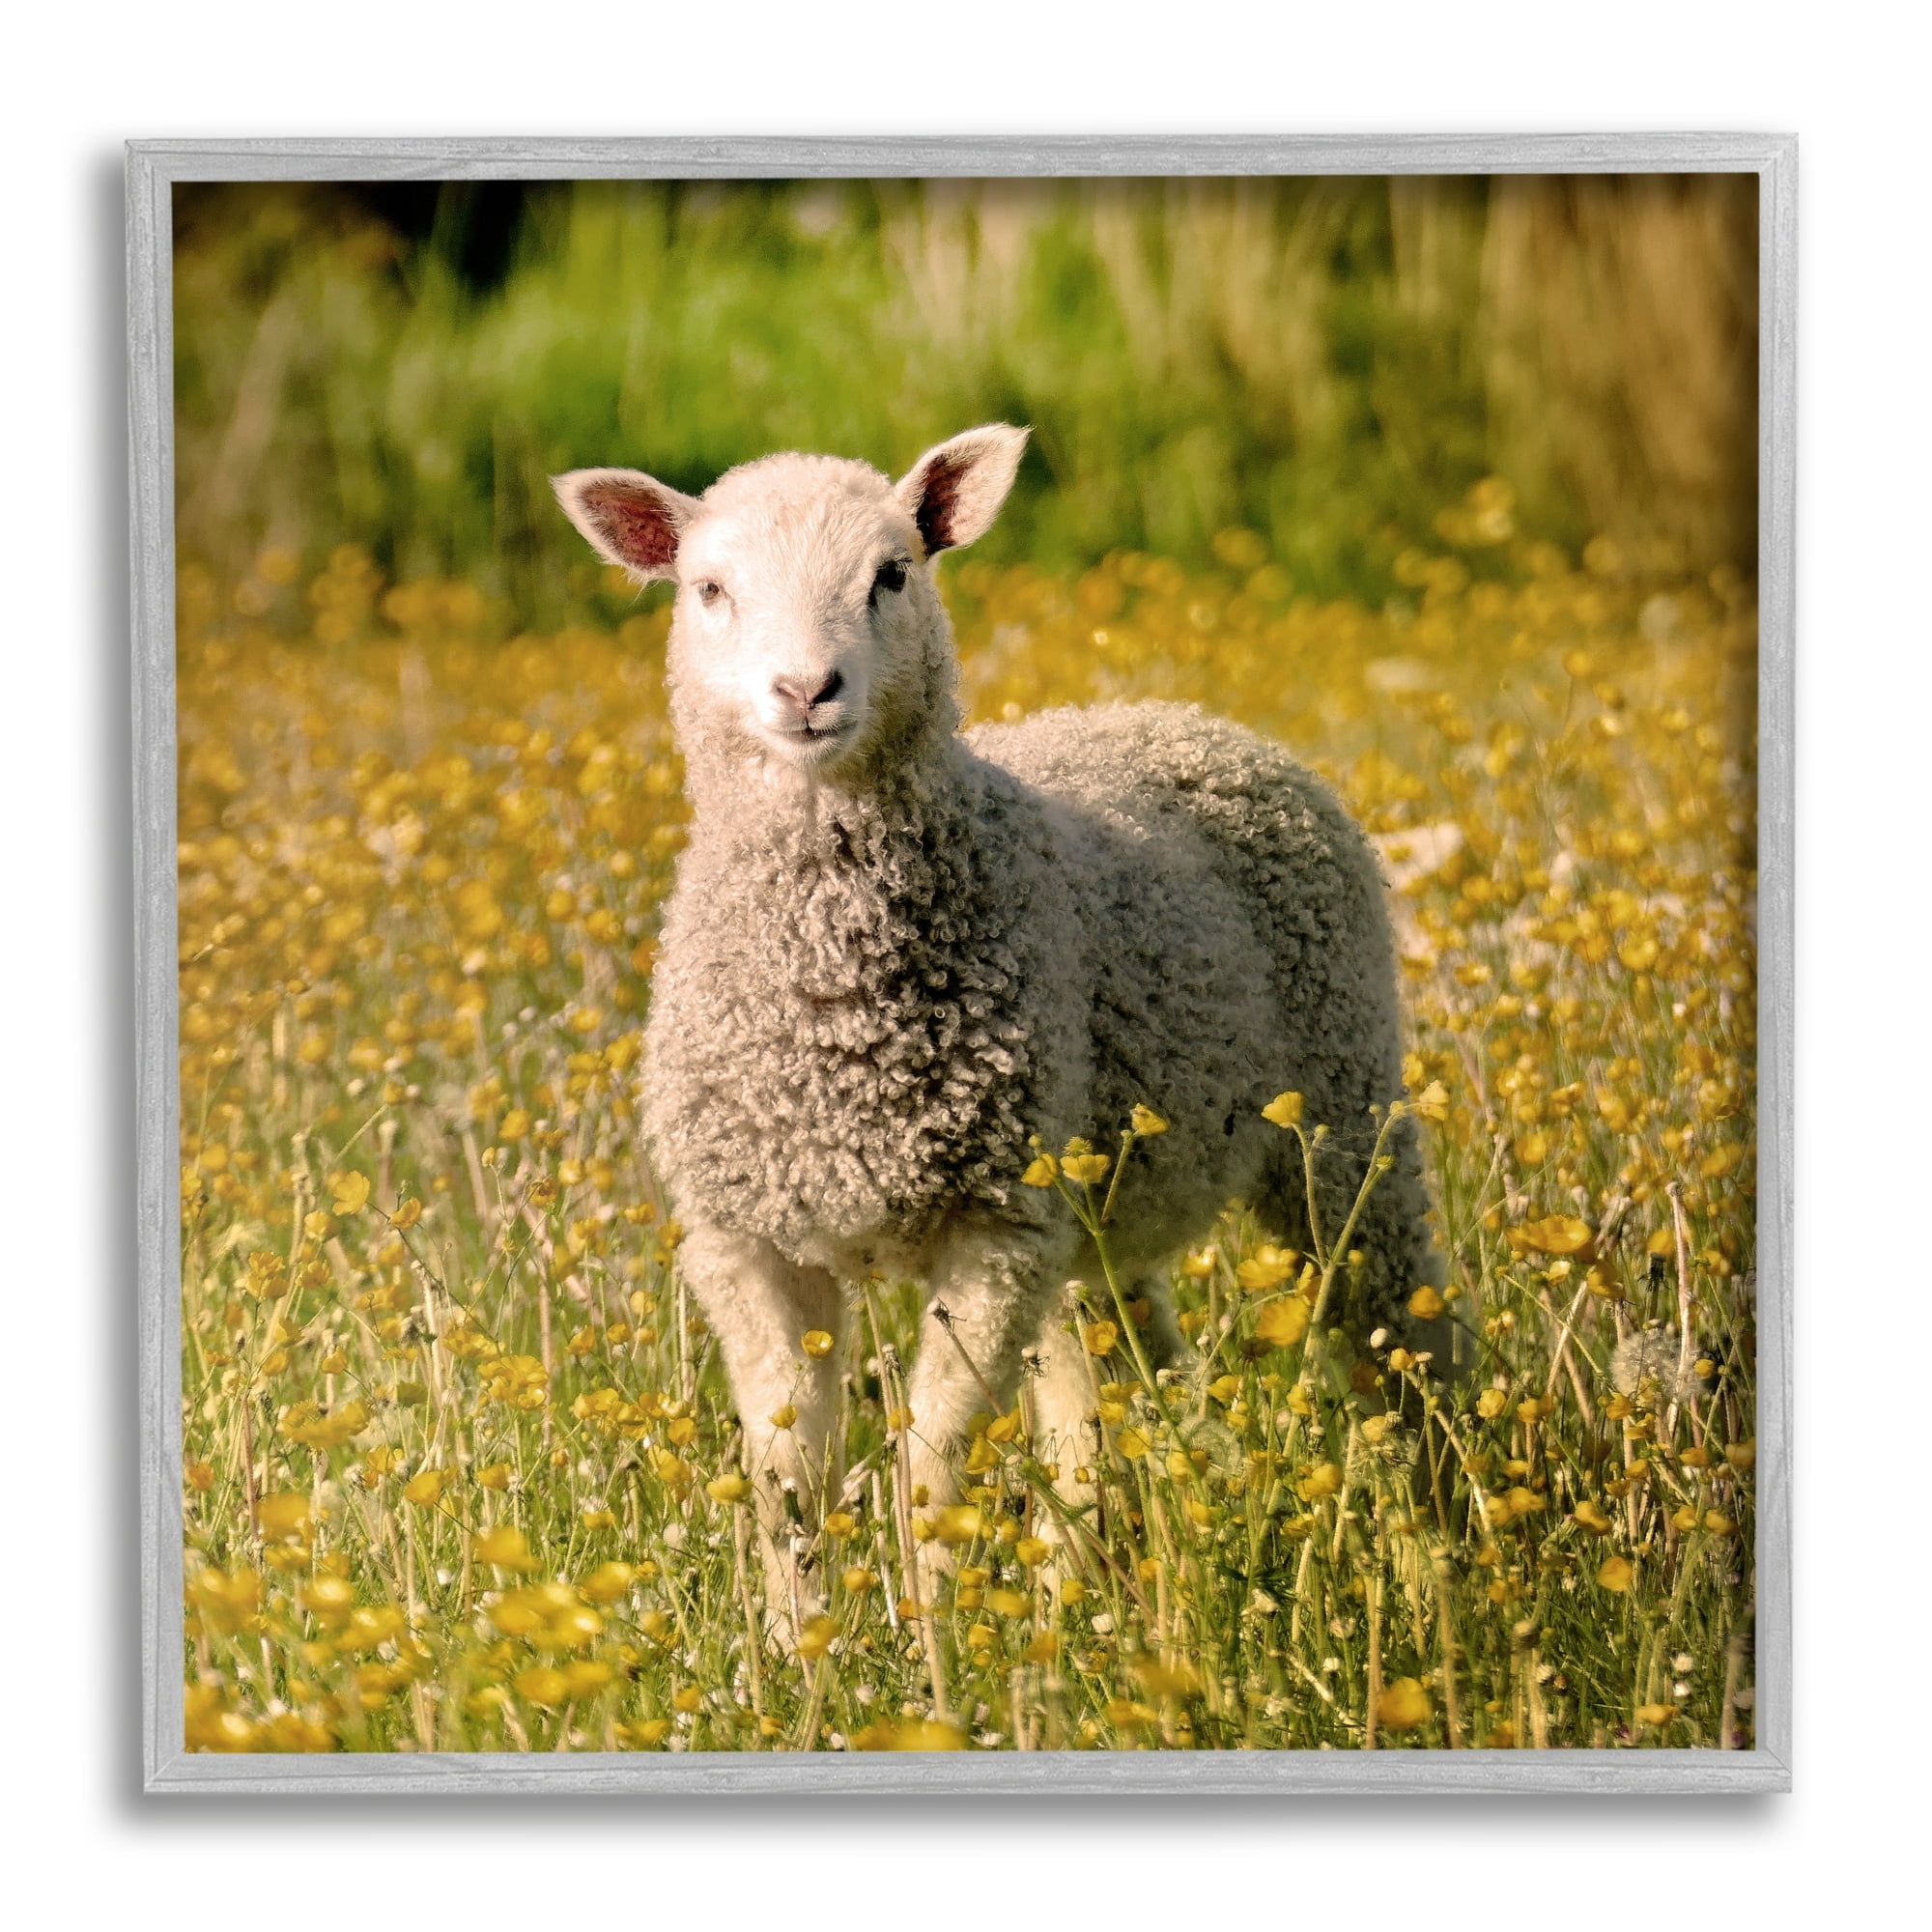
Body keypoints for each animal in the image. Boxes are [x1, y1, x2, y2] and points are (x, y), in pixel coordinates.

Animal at [554, 425, 1440, 1624]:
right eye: (707, 589)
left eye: (891, 573)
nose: (805, 689)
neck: (833, 1013)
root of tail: (1183, 716)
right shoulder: (747, 1239)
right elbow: (788, 1471)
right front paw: (798, 1645)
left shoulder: (993, 1226)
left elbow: (931, 1463)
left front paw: (932, 1638)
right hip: (1090, 1207)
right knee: (1112, 1387)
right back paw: (1100, 1599)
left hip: (1341, 1104)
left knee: (1399, 1333)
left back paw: (1449, 1542)